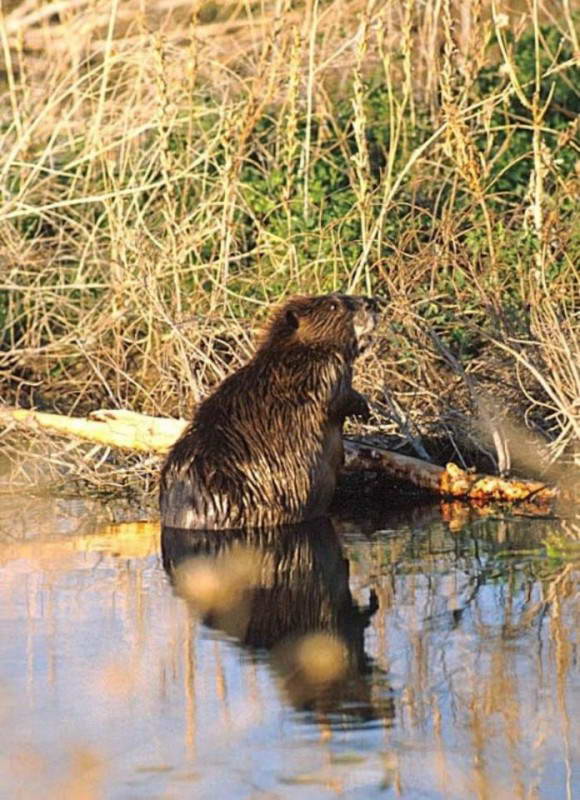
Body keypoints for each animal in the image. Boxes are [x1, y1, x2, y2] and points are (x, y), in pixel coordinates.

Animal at [159, 294, 378, 532]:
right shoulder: (325, 371)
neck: (293, 354)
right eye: (332, 305)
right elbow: (341, 399)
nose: (371, 303)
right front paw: (364, 408)